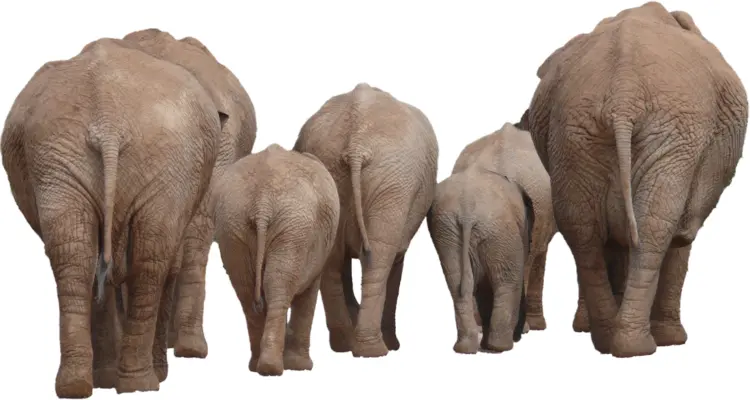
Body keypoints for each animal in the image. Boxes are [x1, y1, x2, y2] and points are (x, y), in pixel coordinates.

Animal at [1, 38, 224, 397]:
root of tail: (108, 120)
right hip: (153, 157)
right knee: (148, 260)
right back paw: (140, 384)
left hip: (58, 157)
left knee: (76, 254)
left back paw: (80, 385)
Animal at [212, 143, 340, 376]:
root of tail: (262, 202)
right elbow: (309, 292)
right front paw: (301, 367)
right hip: (292, 226)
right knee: (277, 287)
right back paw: (273, 368)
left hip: (233, 224)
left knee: (246, 290)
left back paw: (259, 366)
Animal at [293, 83, 439, 358]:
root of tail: (356, 142)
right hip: (393, 183)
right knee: (379, 258)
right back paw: (375, 350)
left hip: (335, 171)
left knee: (333, 260)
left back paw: (345, 345)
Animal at [427, 163, 532, 354]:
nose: (520, 335)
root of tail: (467, 211)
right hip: (498, 229)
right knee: (507, 281)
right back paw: (500, 347)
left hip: (447, 230)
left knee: (458, 284)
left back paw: (466, 348)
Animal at [518, 1, 747, 357]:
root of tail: (623, 94)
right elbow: (679, 234)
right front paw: (672, 340)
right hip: (668, 133)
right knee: (656, 226)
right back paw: (639, 347)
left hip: (574, 134)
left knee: (582, 227)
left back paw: (609, 342)